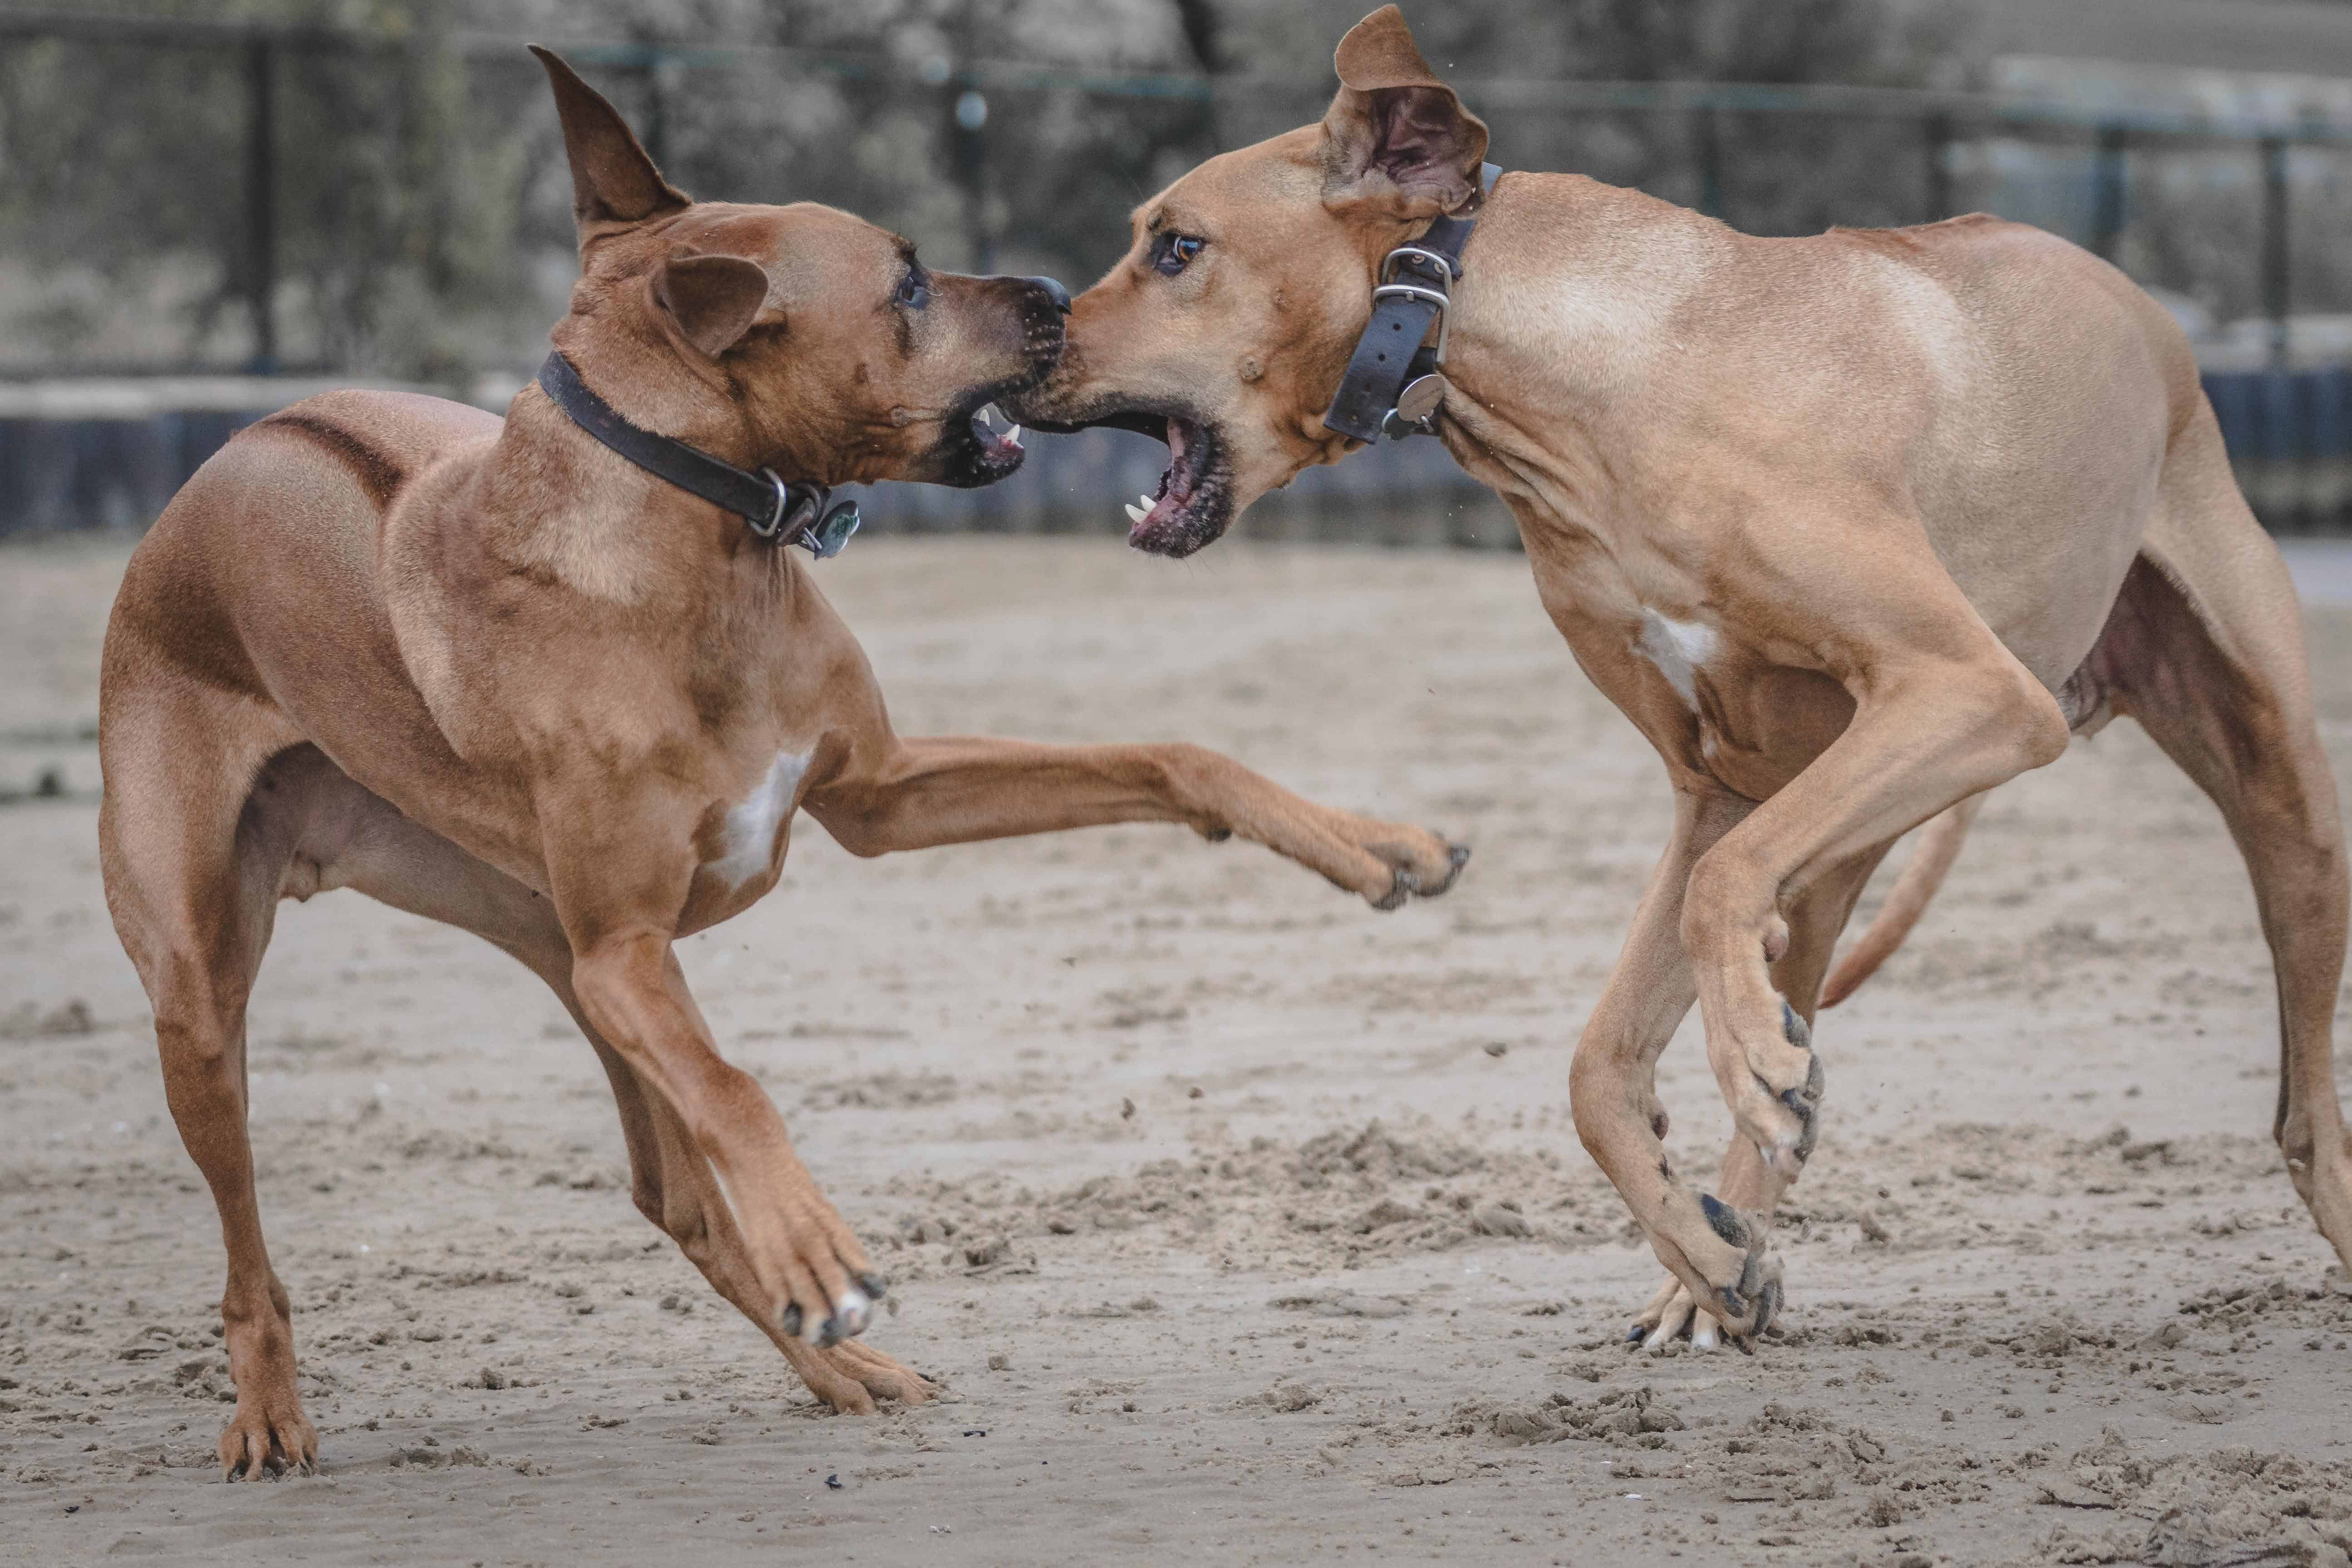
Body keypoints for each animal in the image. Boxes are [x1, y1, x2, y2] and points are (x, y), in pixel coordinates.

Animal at [106, 46, 1467, 1476]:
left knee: (674, 1195)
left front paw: (1374, 843)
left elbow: (1170, 751)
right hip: (215, 990)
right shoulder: (629, 951)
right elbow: (740, 1087)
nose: (1050, 296)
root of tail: (231, 452)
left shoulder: (868, 797)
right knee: (249, 1239)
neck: (708, 540)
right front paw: (821, 1245)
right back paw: (271, 1408)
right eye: (909, 282)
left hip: (556, 956)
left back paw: (839, 1361)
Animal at [1020, 3, 2352, 1354]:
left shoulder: (1966, 690)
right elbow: (1598, 1063)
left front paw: (1744, 1106)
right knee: (1785, 998)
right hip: (1845, 830)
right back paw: (1722, 1247)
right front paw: (1706, 1248)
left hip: (2270, 798)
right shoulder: (1722, 787)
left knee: (2300, 1100)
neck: (1598, 385)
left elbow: (1718, 907)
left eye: (1176, 247)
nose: (1027, 340)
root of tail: (2145, 309)